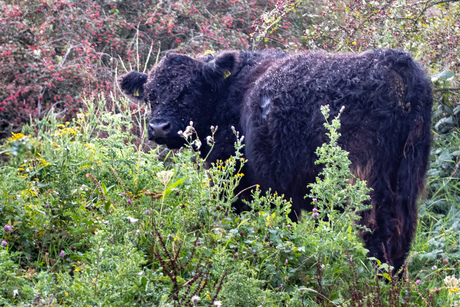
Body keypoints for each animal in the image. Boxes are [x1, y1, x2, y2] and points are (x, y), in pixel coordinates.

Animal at [117, 49, 432, 274]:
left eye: (188, 91)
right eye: (151, 95)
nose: (159, 127)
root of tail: (393, 60)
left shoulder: (238, 183)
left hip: (367, 182)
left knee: (380, 232)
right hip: (406, 180)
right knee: (401, 233)